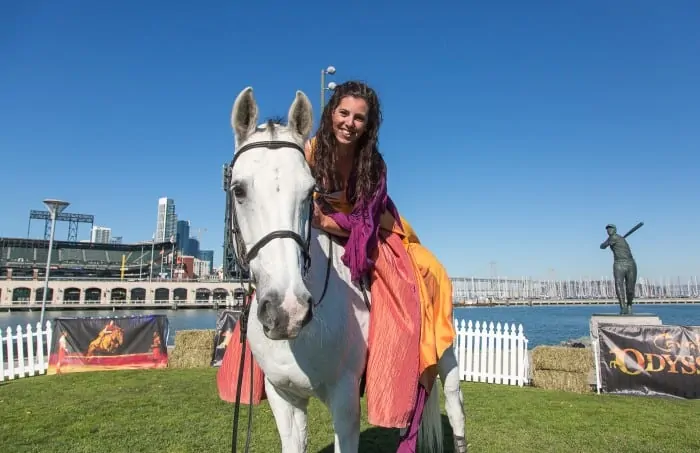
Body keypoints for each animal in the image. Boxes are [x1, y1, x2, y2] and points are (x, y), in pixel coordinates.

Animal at [228, 85, 464, 452]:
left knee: (455, 407)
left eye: (309, 191)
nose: (287, 310)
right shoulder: (283, 397)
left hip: (446, 354)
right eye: (239, 189)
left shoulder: (345, 402)